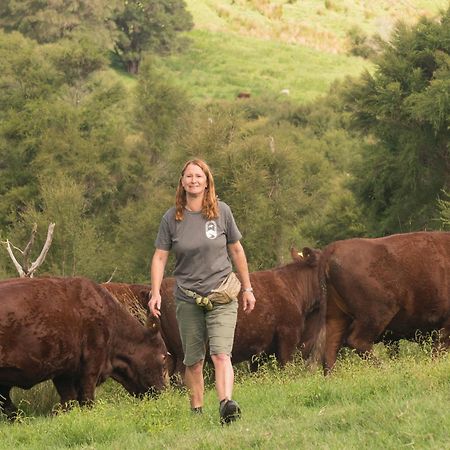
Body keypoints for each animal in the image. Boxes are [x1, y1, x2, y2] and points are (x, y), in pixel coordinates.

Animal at [0, 276, 168, 420]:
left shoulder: (64, 372)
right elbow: (86, 398)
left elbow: (68, 400)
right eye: (163, 357)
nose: (163, 392)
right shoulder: (91, 365)